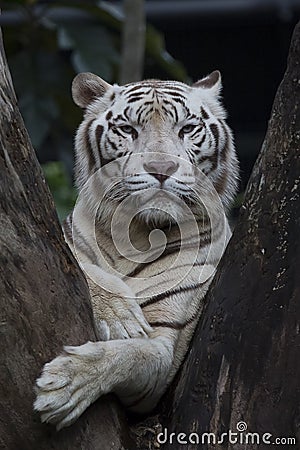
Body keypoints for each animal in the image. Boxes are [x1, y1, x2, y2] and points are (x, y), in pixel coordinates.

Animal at [34, 70, 238, 428]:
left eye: (187, 128)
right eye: (128, 130)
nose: (161, 168)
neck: (138, 234)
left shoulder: (165, 347)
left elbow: (130, 354)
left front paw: (64, 384)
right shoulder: (64, 240)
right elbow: (87, 270)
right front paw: (121, 317)